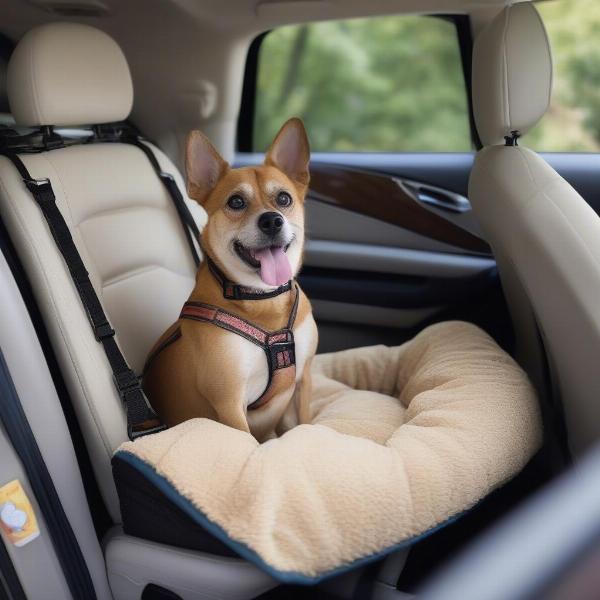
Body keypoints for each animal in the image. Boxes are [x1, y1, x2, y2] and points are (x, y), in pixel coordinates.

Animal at [144, 117, 318, 440]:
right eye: (236, 202)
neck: (262, 298)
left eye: (284, 198)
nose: (272, 220)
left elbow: (306, 423)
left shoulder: (304, 379)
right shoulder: (229, 401)